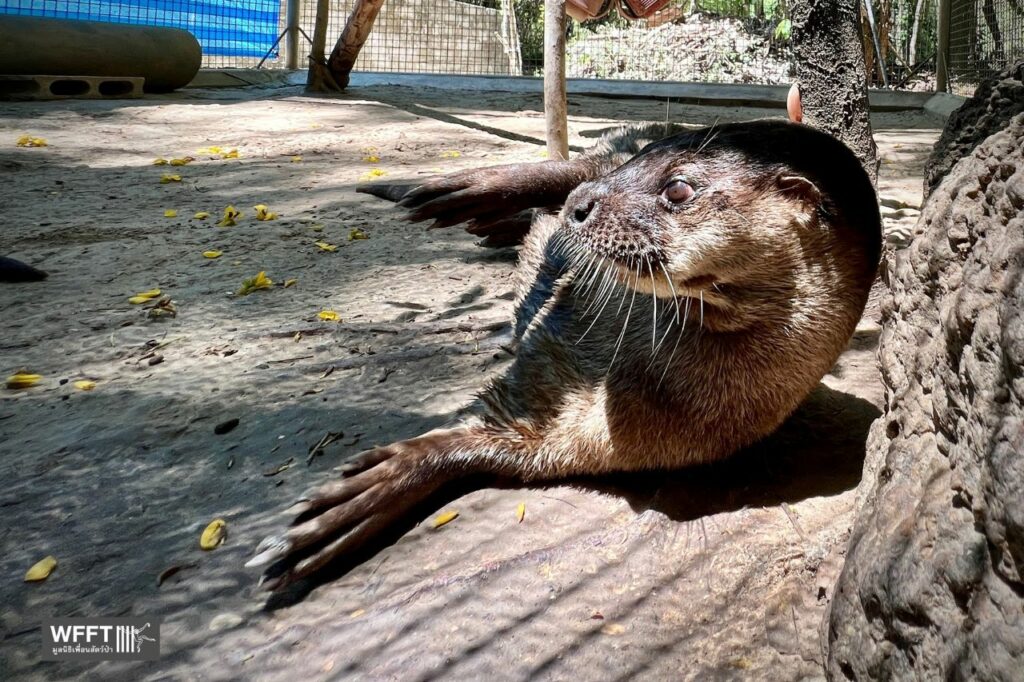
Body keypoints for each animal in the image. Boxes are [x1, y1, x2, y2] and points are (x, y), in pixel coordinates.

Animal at [247, 119, 881, 589]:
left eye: (678, 188)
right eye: (642, 169)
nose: (580, 206)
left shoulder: (570, 441)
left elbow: (466, 447)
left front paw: (352, 501)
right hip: (599, 156)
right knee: (562, 168)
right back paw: (450, 195)